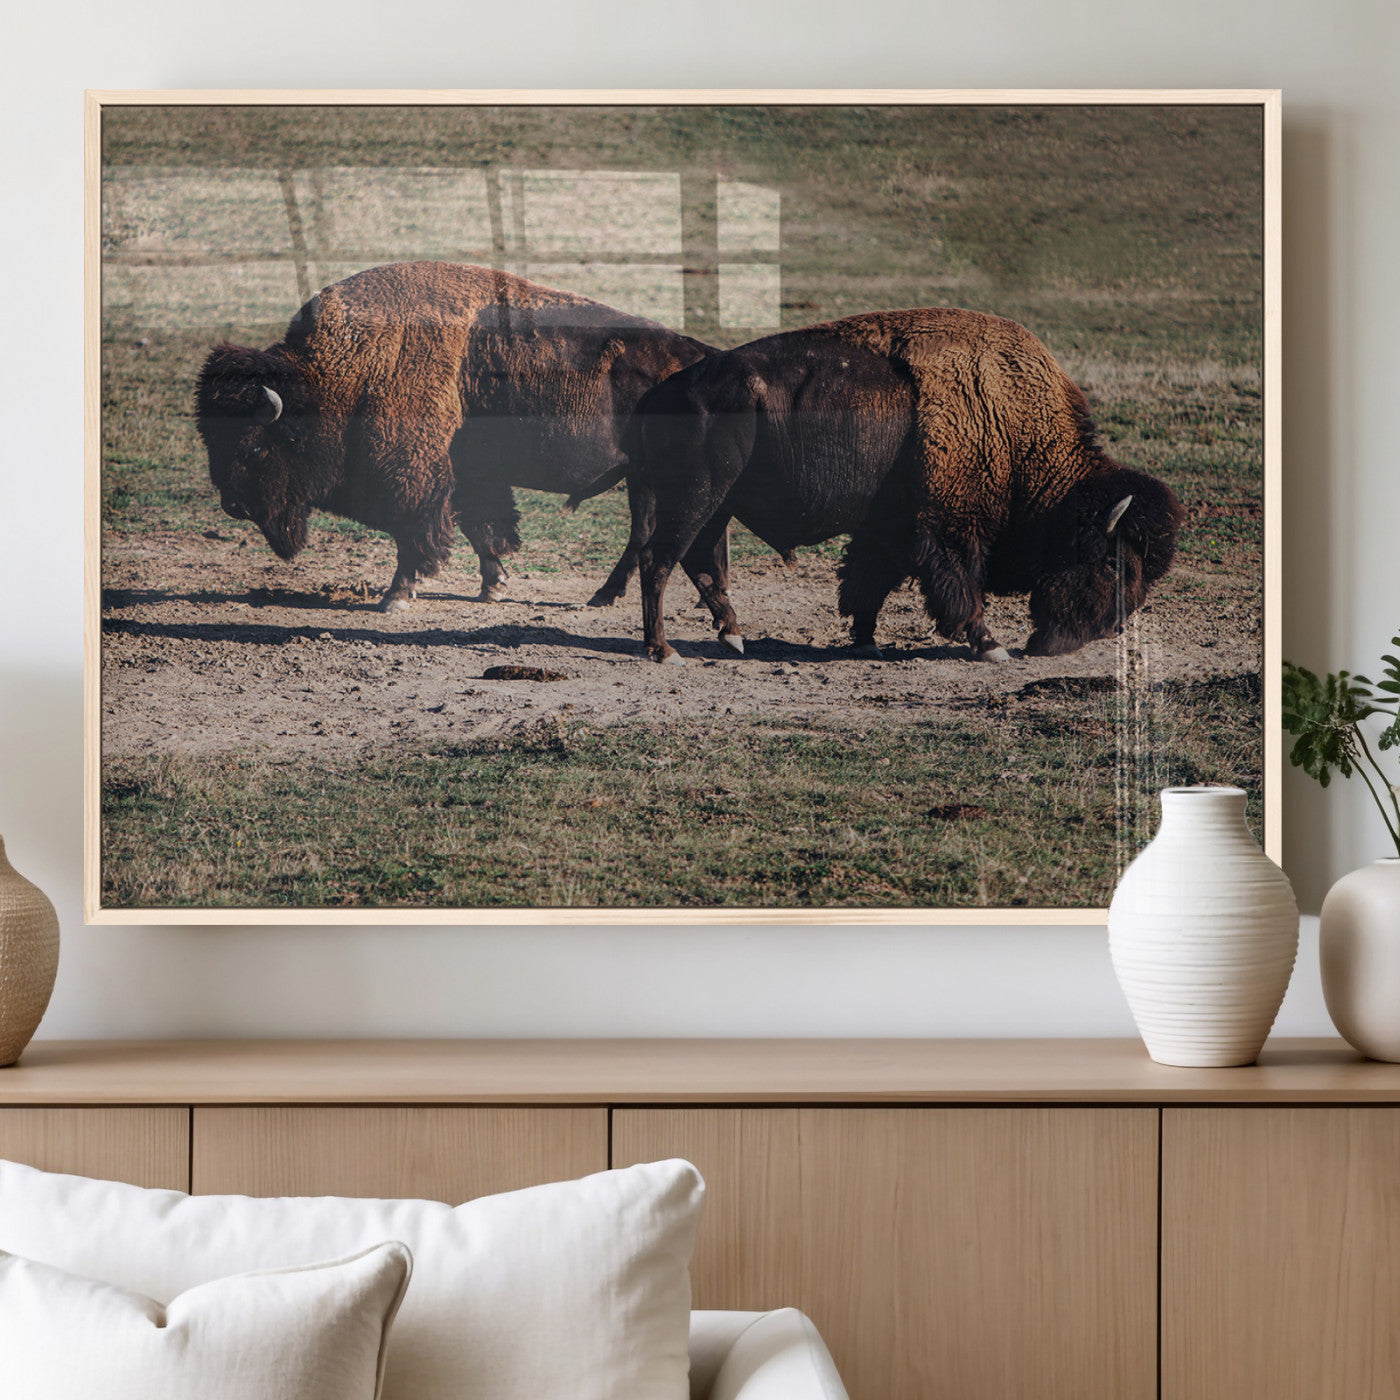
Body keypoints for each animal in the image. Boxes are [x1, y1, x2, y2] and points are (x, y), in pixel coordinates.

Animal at [195, 261, 714, 611]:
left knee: (644, 532)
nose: (233, 506)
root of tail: (700, 354)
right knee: (648, 531)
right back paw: (615, 595)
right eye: (210, 441)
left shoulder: (413, 479)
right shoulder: (468, 475)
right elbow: (480, 527)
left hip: (648, 477)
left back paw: (605, 596)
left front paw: (396, 596)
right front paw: (493, 586)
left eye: (255, 446)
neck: (344, 375)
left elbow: (415, 534)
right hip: (642, 477)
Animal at [633, 307, 1186, 664]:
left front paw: (865, 640)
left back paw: (731, 636)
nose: (1106, 629)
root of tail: (663, 391)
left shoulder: (889, 529)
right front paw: (991, 647)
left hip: (717, 504)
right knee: (658, 560)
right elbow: (960, 586)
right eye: (1113, 563)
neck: (1009, 424)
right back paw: (664, 650)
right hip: (697, 498)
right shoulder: (949, 530)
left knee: (697, 562)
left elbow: (867, 581)